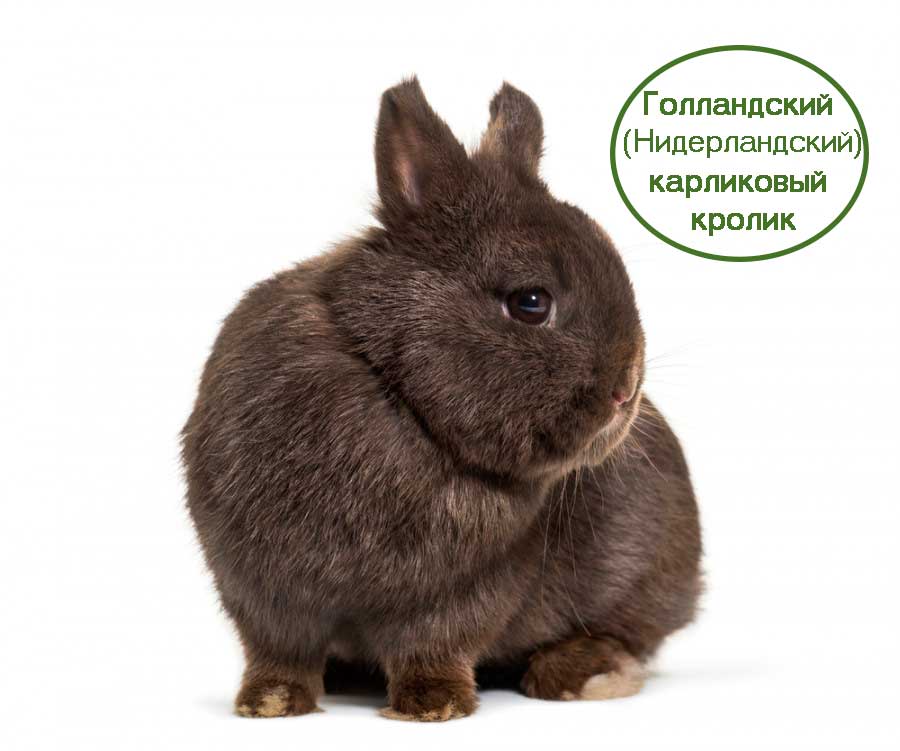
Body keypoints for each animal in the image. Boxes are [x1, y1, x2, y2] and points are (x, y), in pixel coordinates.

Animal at [181, 77, 702, 722]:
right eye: (531, 302)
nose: (625, 390)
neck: (399, 397)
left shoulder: (465, 590)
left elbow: (433, 645)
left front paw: (432, 706)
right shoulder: (260, 584)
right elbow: (278, 649)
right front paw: (270, 703)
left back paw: (585, 673)